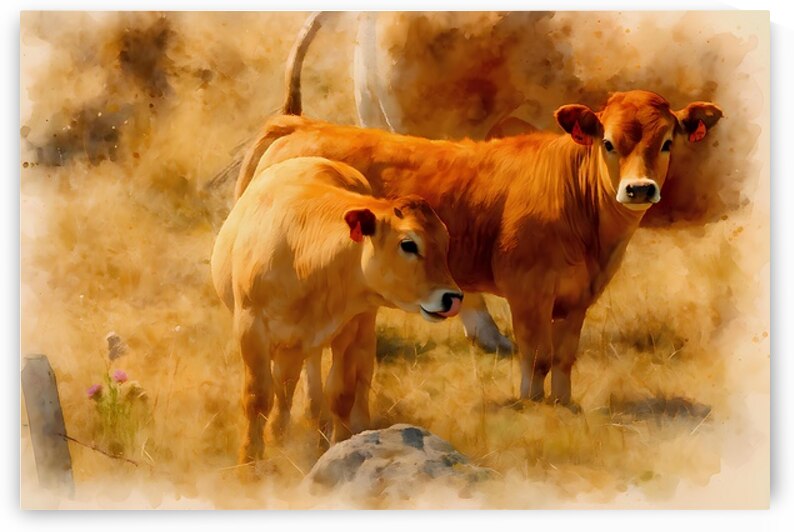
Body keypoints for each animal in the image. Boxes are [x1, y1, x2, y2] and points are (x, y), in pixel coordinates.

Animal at [211, 156, 462, 463]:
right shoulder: (251, 329)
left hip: (359, 327)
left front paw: (342, 447)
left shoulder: (347, 330)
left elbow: (341, 394)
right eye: (408, 244)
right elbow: (258, 398)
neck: (303, 256)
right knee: (287, 385)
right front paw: (250, 460)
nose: (452, 297)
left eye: (446, 242)